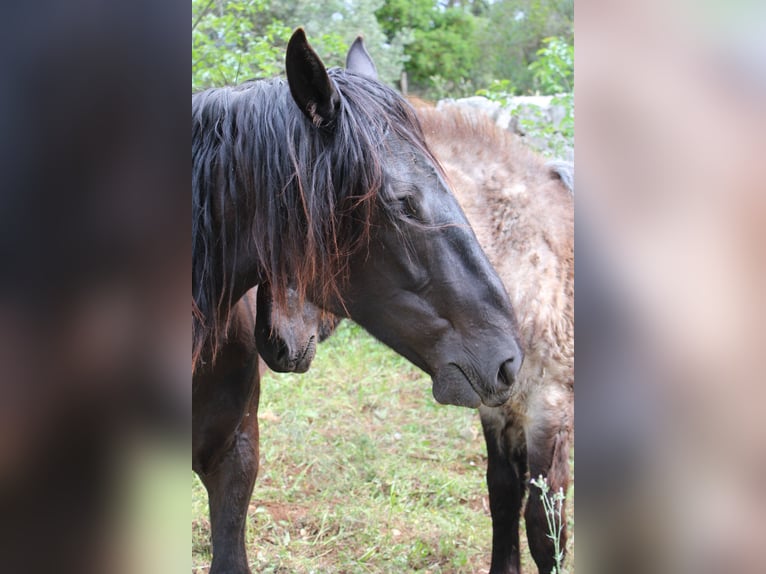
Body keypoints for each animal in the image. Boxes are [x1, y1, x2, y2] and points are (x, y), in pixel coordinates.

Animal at [260, 101, 572, 572]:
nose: (274, 342)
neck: (523, 252)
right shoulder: (496, 406)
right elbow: (502, 498)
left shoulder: (549, 410)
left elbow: (545, 527)